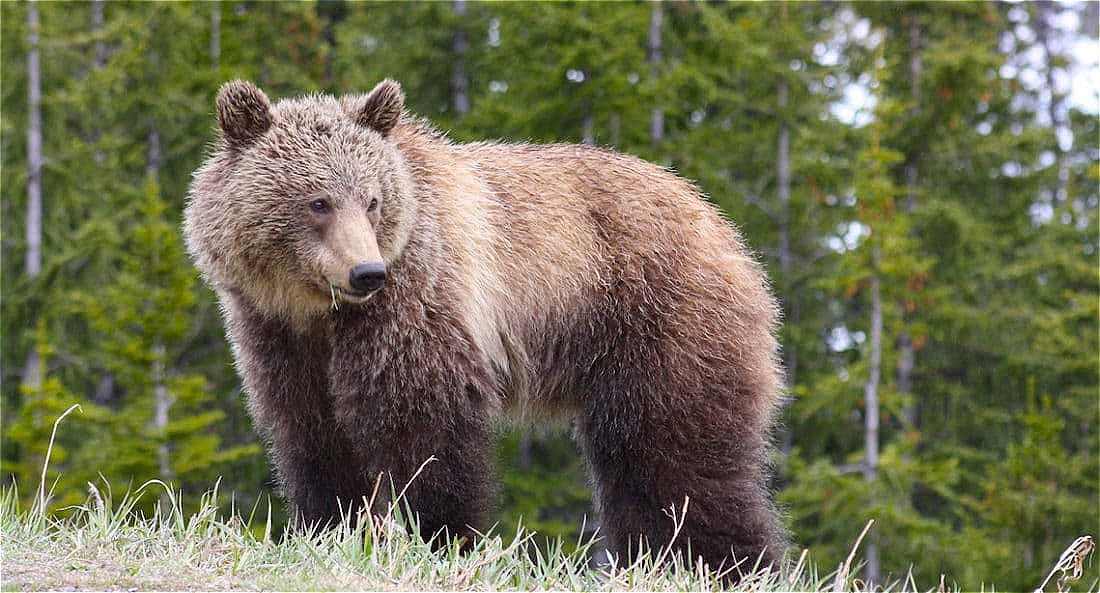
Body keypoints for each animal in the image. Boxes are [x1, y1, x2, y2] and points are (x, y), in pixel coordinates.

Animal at [184, 78, 787, 573]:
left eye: (373, 201)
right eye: (318, 201)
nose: (367, 272)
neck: (318, 308)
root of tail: (720, 224)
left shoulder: (418, 300)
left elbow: (424, 422)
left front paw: (439, 538)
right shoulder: (275, 333)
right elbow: (311, 431)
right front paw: (331, 529)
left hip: (659, 319)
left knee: (677, 452)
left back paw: (729, 563)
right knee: (632, 461)